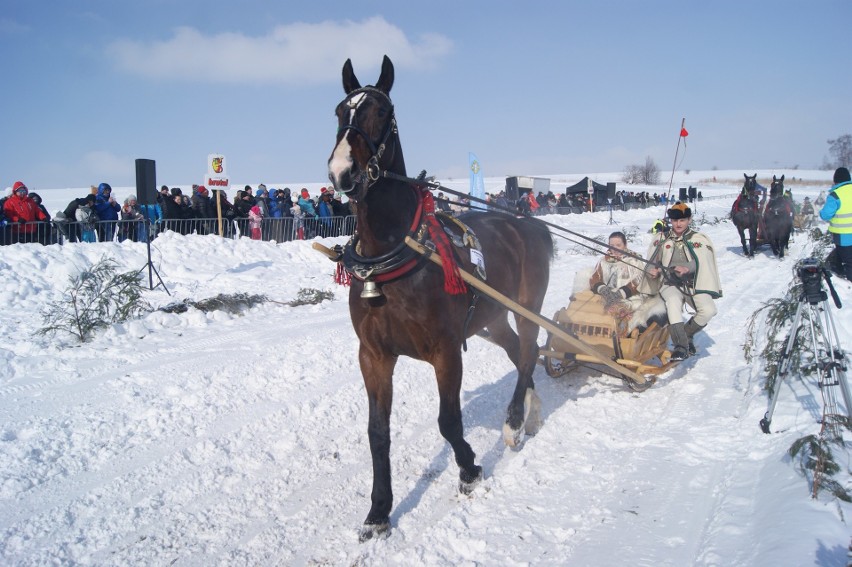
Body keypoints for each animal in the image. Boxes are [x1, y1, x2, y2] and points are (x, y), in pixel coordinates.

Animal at [326, 56, 552, 540]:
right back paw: (531, 409)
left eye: (381, 111)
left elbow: (448, 421)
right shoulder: (374, 354)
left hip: (527, 306)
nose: (342, 172)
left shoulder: (445, 349)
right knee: (521, 352)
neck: (393, 254)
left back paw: (513, 421)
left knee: (528, 352)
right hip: (492, 319)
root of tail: (525, 222)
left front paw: (469, 469)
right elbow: (377, 433)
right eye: (339, 110)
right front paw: (379, 509)